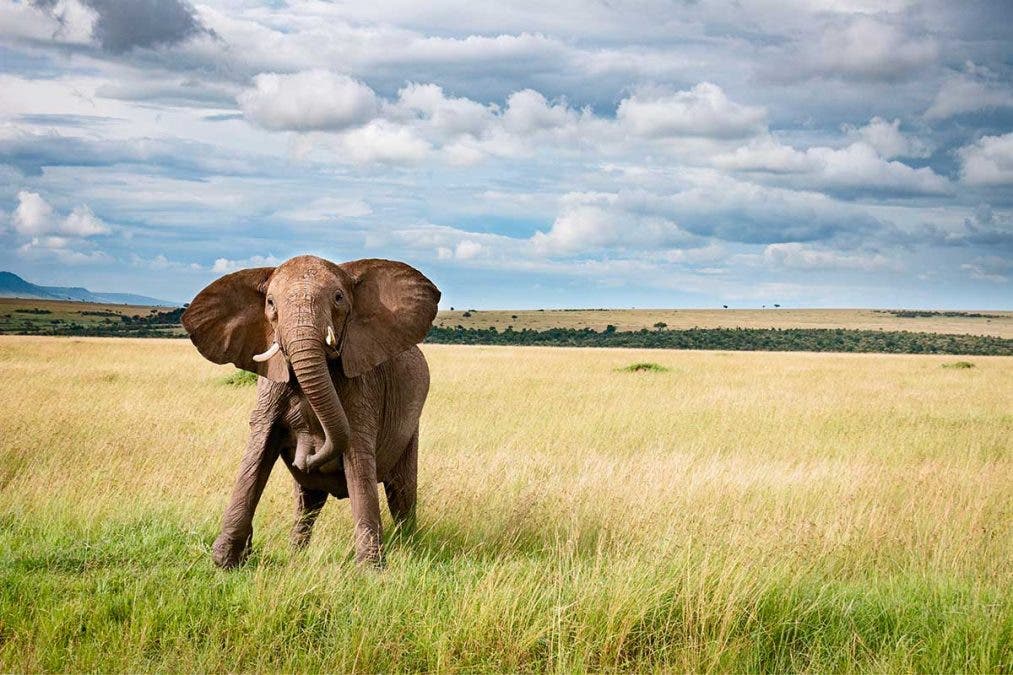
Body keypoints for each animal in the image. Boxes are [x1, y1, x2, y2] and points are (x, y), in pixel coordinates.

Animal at [182, 255, 441, 568]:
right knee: (308, 501)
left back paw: (410, 549)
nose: (306, 455)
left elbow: (358, 458)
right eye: (270, 303)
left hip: (411, 426)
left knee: (401, 492)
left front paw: (371, 571)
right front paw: (225, 562)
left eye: (339, 298)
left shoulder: (362, 388)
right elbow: (257, 451)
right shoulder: (271, 383)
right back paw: (296, 553)